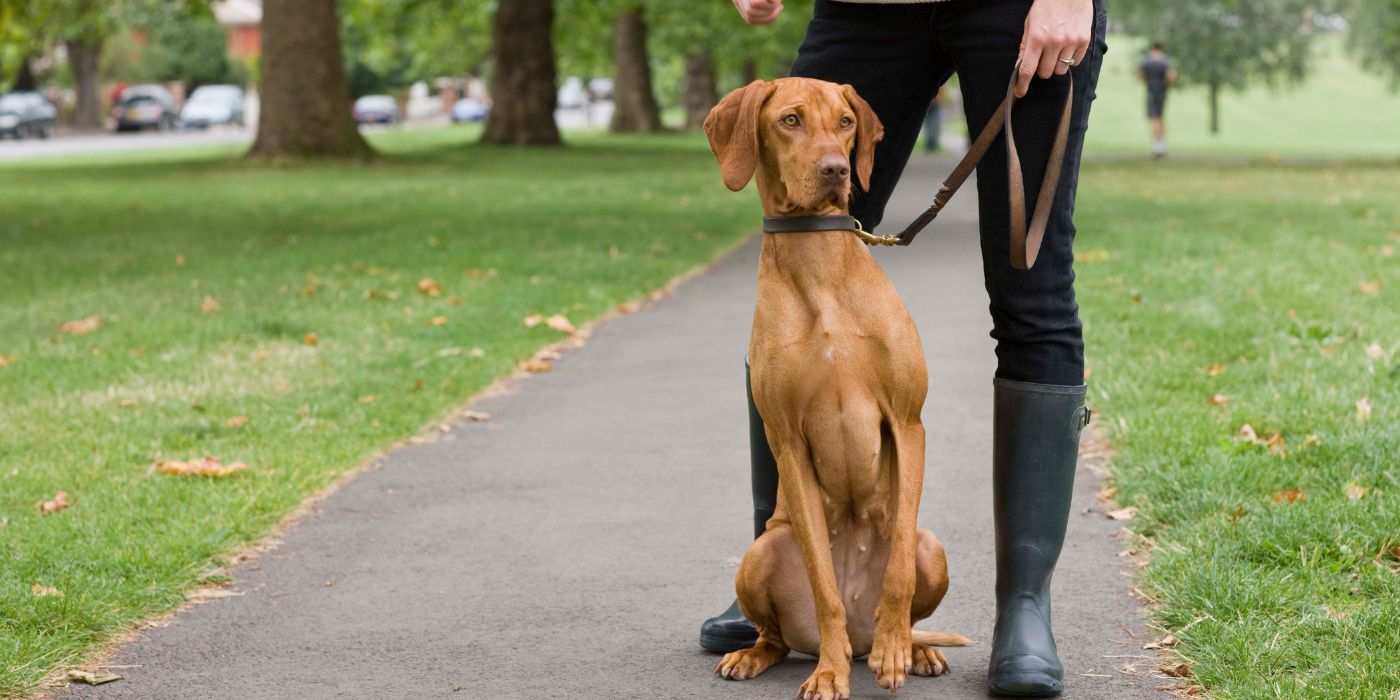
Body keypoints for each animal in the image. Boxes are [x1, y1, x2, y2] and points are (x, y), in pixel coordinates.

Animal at [705, 78, 968, 700]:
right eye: (790, 120)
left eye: (846, 122)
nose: (835, 169)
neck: (817, 261)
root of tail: (859, 634)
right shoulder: (787, 443)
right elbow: (824, 585)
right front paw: (828, 673)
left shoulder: (908, 422)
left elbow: (897, 573)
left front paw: (897, 648)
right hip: (762, 551)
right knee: (779, 635)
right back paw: (760, 654)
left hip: (932, 545)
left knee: (909, 596)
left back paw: (911, 648)